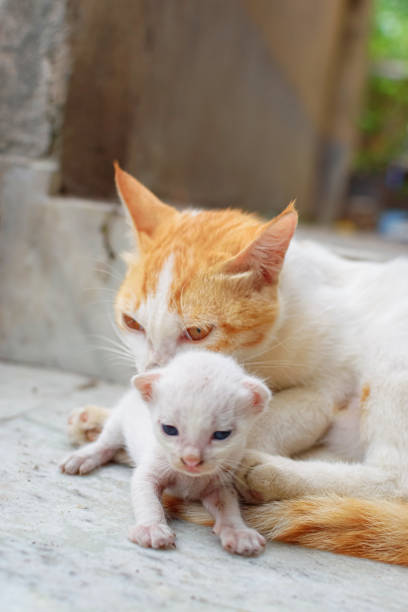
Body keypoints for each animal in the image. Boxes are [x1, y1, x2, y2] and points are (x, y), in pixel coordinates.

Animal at [60, 350, 270, 556]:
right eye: (169, 429)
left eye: (221, 434)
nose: (191, 460)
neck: (189, 478)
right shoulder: (148, 471)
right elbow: (147, 499)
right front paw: (151, 528)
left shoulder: (221, 482)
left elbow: (229, 507)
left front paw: (238, 532)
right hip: (118, 420)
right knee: (106, 443)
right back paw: (82, 457)